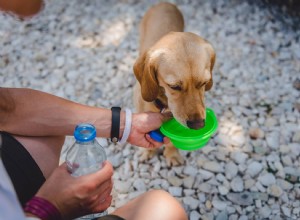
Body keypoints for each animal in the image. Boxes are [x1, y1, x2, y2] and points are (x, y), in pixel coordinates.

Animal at [134, 2, 216, 167]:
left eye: (204, 83)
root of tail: (164, 2)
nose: (198, 125)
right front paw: (148, 152)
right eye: (174, 86)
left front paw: (172, 154)